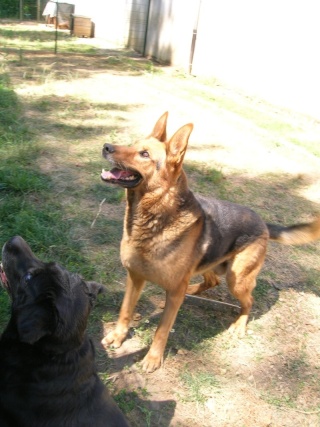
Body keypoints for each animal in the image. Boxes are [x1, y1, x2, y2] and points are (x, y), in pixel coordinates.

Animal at [101, 112, 320, 372]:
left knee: (249, 301)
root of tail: (264, 224)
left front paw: (153, 358)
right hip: (211, 263)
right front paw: (118, 336)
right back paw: (194, 290)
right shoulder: (135, 277)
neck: (153, 216)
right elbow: (125, 310)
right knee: (211, 280)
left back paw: (239, 323)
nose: (106, 147)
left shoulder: (170, 293)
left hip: (237, 280)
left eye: (144, 154)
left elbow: (162, 329)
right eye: (132, 145)